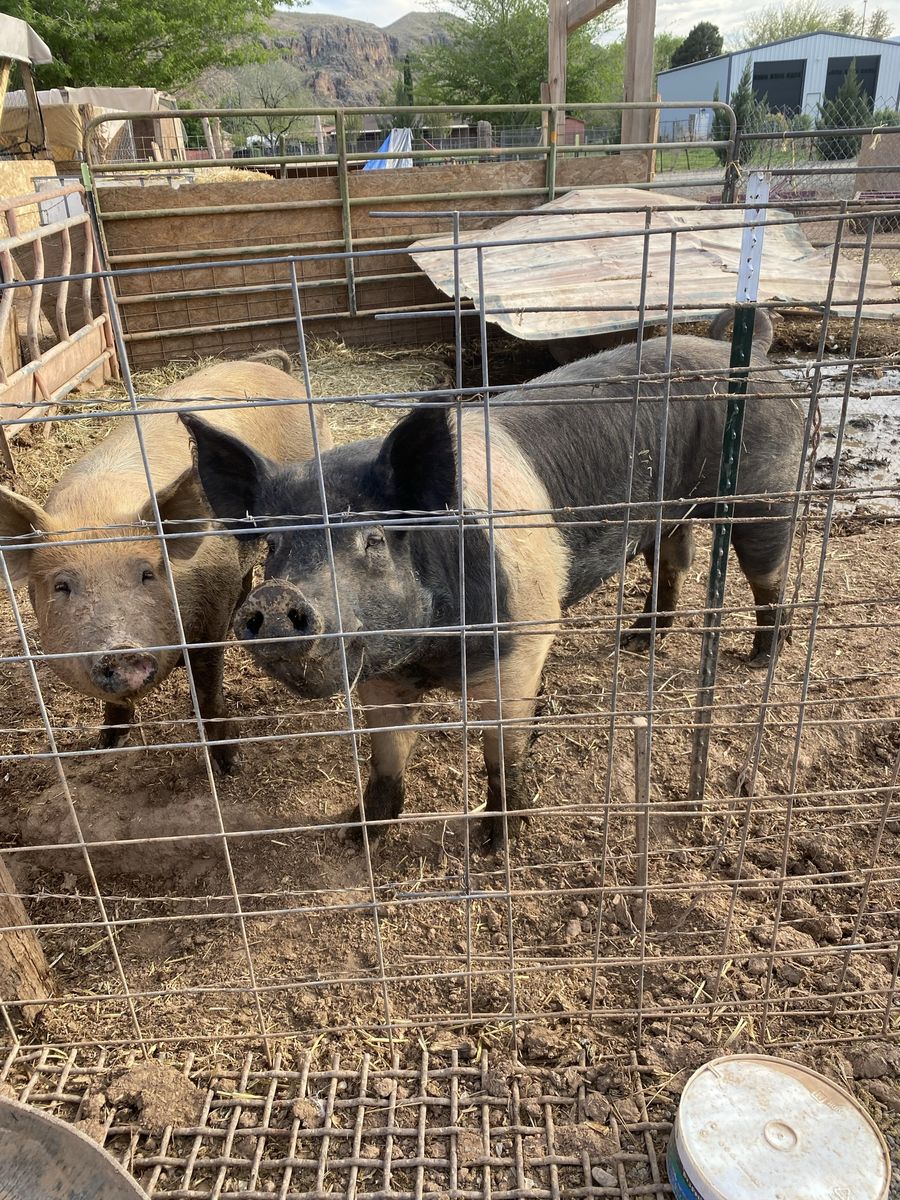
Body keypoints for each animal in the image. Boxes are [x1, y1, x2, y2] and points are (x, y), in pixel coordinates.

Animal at [0, 359, 332, 769]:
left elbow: (208, 691)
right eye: (63, 585)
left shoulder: (208, 617)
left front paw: (231, 765)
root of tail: (276, 371)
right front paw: (106, 744)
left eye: (147, 574)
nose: (122, 651)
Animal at [181, 312, 802, 841]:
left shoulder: (524, 640)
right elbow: (386, 756)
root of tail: (755, 352)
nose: (275, 597)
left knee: (768, 576)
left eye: (374, 539)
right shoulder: (381, 672)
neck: (434, 656)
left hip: (766, 491)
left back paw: (759, 656)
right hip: (670, 513)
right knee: (672, 562)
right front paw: (357, 834)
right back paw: (637, 641)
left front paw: (494, 842)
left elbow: (502, 754)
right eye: (274, 545)